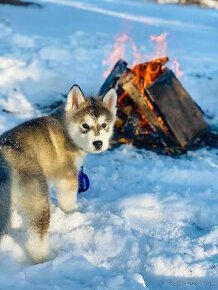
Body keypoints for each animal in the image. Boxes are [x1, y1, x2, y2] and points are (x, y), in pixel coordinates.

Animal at [0, 85, 117, 262]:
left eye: (104, 125)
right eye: (85, 125)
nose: (98, 143)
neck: (67, 130)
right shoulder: (67, 177)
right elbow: (68, 200)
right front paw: (72, 213)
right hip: (38, 199)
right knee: (37, 237)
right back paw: (45, 258)